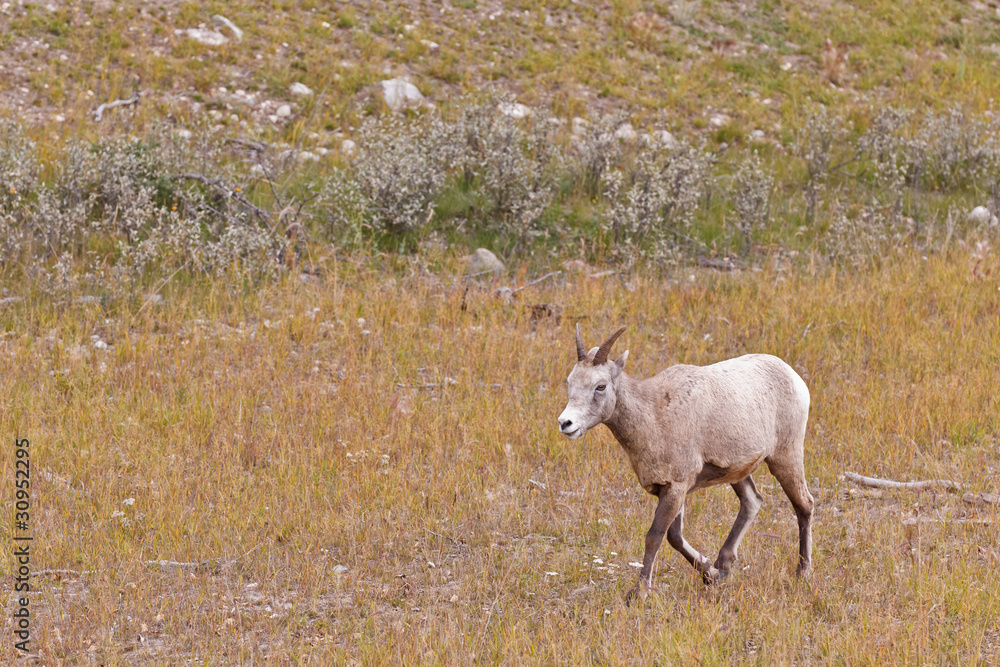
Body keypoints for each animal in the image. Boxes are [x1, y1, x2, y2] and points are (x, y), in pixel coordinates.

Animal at [558, 325, 813, 605]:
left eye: (600, 386)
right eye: (570, 382)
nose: (565, 423)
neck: (655, 416)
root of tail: (793, 376)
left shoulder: (676, 487)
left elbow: (655, 537)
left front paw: (639, 593)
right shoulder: (669, 490)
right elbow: (674, 538)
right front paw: (710, 574)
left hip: (785, 457)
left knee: (804, 505)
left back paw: (802, 572)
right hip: (738, 472)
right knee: (752, 501)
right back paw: (724, 565)